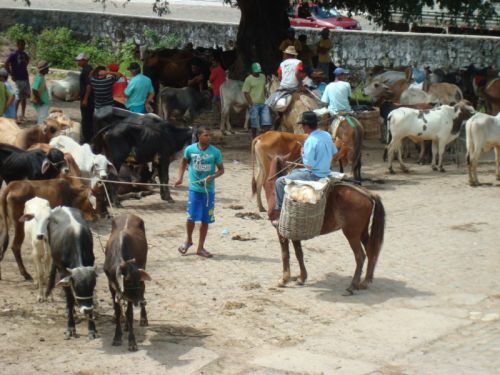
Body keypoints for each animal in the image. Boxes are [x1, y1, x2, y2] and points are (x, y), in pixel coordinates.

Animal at [46, 207, 98, 342]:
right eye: (77, 287)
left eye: (93, 286)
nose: (87, 309)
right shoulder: (64, 273)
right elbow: (69, 301)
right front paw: (70, 328)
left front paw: (92, 329)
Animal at [103, 214, 150, 352]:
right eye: (127, 281)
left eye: (138, 280)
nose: (141, 302)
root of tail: (129, 214)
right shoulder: (112, 286)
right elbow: (118, 311)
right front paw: (117, 337)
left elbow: (129, 313)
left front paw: (132, 342)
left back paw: (143, 318)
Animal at [268, 157, 384, 296]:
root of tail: (368, 194)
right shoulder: (294, 233)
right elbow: (299, 253)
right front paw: (302, 278)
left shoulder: (280, 231)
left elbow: (285, 254)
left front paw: (284, 280)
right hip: (363, 232)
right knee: (371, 252)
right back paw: (365, 282)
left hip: (352, 234)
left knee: (360, 256)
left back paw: (352, 286)